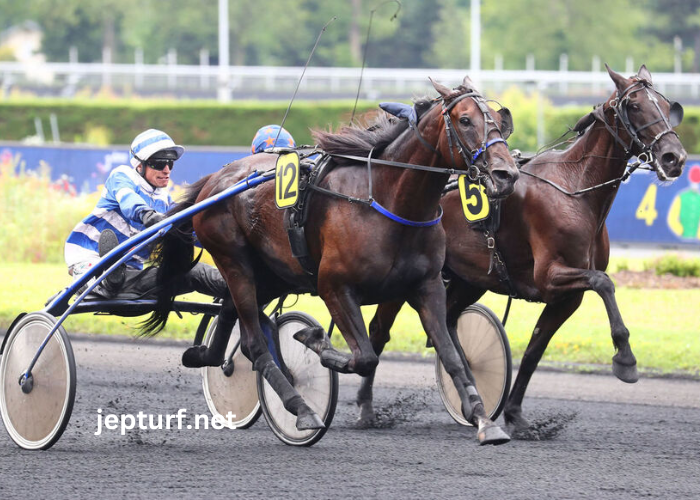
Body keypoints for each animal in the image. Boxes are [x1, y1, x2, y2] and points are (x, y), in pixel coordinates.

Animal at [142, 76, 520, 444]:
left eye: (499, 119)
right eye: (465, 120)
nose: (507, 174)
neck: (388, 201)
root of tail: (214, 181)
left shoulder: (426, 286)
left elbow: (452, 356)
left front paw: (484, 420)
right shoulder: (334, 286)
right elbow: (364, 357)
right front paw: (314, 340)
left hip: (272, 273)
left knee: (233, 318)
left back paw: (206, 356)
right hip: (234, 261)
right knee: (255, 343)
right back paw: (302, 409)